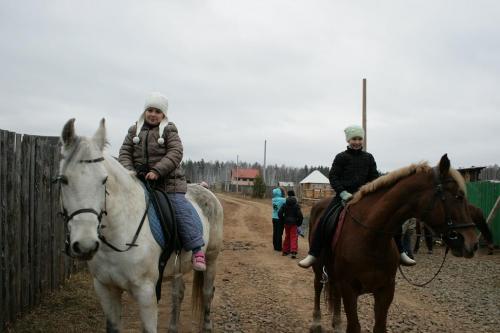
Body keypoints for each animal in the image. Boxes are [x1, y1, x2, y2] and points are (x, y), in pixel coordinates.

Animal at [57, 118, 224, 330]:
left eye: (104, 180)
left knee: (207, 292)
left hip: (212, 257)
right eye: (63, 180)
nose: (86, 244)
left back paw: (207, 325)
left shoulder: (146, 293)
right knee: (178, 294)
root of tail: (207, 191)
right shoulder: (105, 289)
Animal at [308, 155, 476, 332]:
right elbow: (354, 326)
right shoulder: (349, 289)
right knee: (317, 286)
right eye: (458, 196)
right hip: (319, 266)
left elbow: (380, 327)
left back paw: (337, 322)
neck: (371, 239)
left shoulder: (386, 290)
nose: (472, 242)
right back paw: (316, 322)